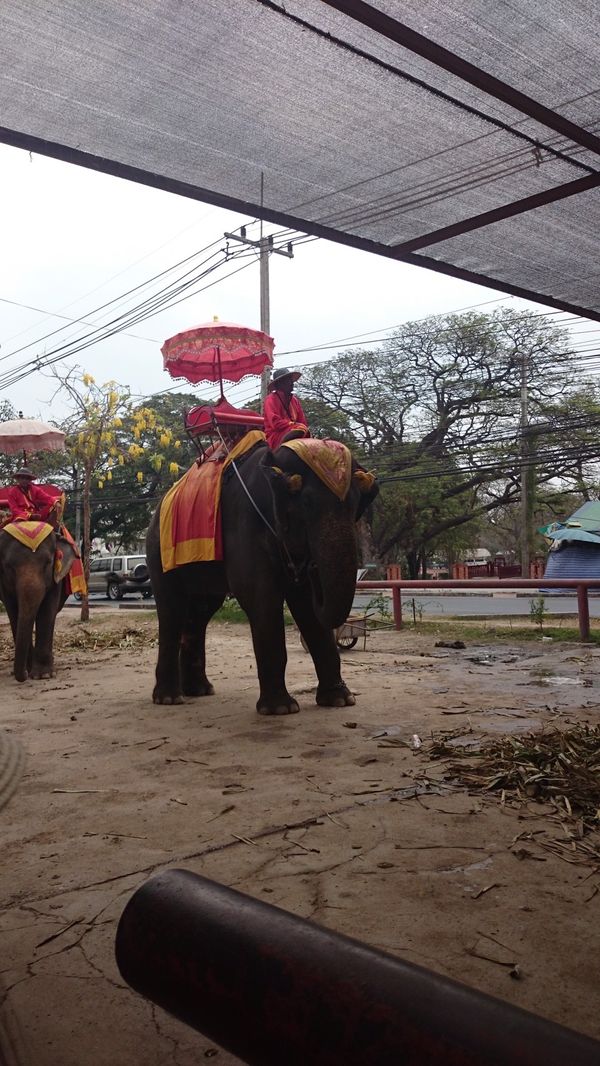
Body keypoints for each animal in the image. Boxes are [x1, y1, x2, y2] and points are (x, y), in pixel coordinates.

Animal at [0, 529, 78, 682]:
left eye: (48, 563)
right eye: (8, 566)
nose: (24, 675)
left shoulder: (56, 578)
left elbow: (47, 611)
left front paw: (43, 675)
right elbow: (13, 612)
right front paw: (29, 670)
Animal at [146, 440, 379, 713]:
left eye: (354, 506)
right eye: (306, 504)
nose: (310, 568)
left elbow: (307, 608)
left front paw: (340, 700)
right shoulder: (245, 523)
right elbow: (260, 598)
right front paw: (281, 709)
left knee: (200, 612)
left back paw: (199, 690)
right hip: (159, 552)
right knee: (171, 609)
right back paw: (169, 698)